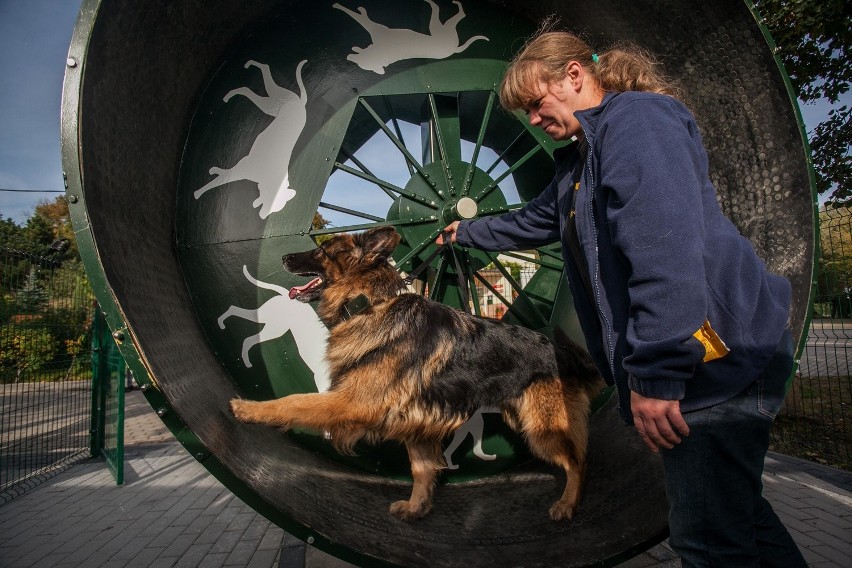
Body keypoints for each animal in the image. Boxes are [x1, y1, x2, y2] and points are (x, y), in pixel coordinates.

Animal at [231, 226, 604, 520]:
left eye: (322, 251)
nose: (284, 257)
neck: (369, 304)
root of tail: (562, 354)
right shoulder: (416, 425)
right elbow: (421, 471)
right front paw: (417, 507)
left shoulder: (352, 402)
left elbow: (295, 401)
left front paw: (250, 408)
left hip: (542, 429)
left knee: (578, 461)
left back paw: (567, 503)